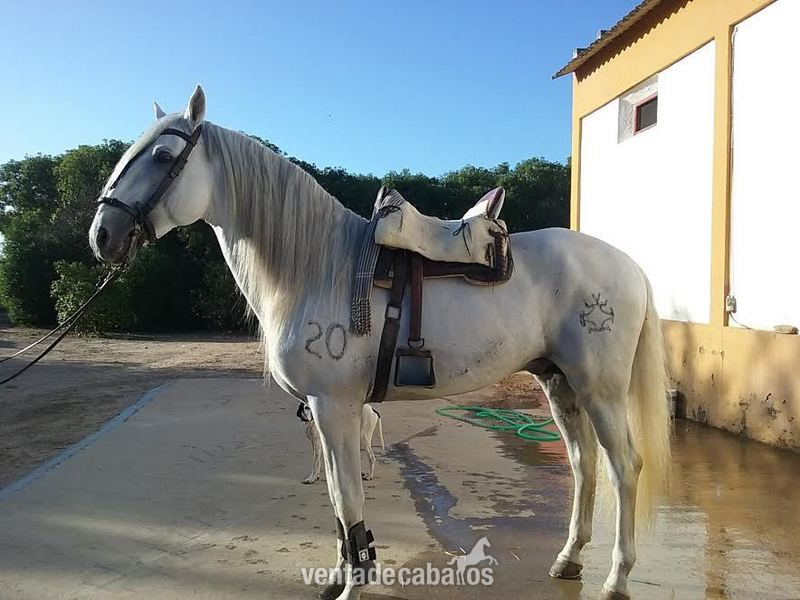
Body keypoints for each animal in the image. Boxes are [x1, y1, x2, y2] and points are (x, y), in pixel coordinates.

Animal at [88, 86, 671, 600]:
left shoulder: (334, 407)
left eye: (164, 155)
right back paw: (568, 559)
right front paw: (340, 578)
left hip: (600, 390)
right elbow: (335, 499)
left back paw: (617, 579)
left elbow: (348, 499)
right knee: (583, 465)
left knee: (624, 467)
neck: (316, 268)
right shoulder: (327, 414)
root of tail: (629, 264)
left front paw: (354, 585)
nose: (102, 236)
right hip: (559, 384)